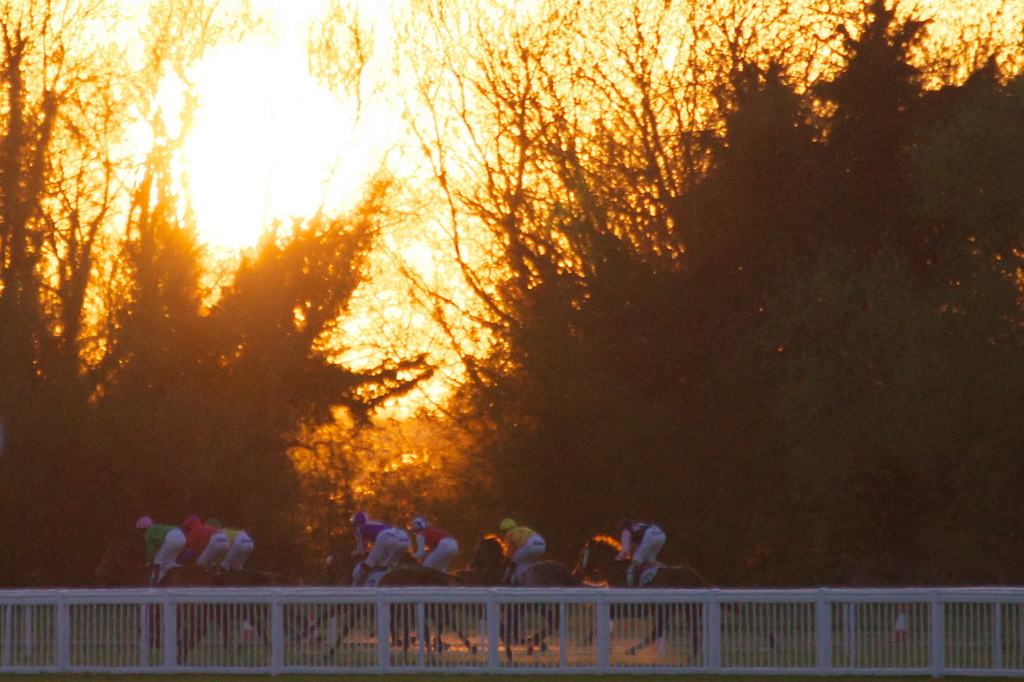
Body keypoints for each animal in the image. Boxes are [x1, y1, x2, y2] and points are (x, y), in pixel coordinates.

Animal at [573, 536, 708, 655]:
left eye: (581, 554)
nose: (576, 572)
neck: (618, 572)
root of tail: (695, 575)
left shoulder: (629, 607)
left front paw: (586, 641)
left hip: (667, 608)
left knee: (660, 631)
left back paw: (632, 650)